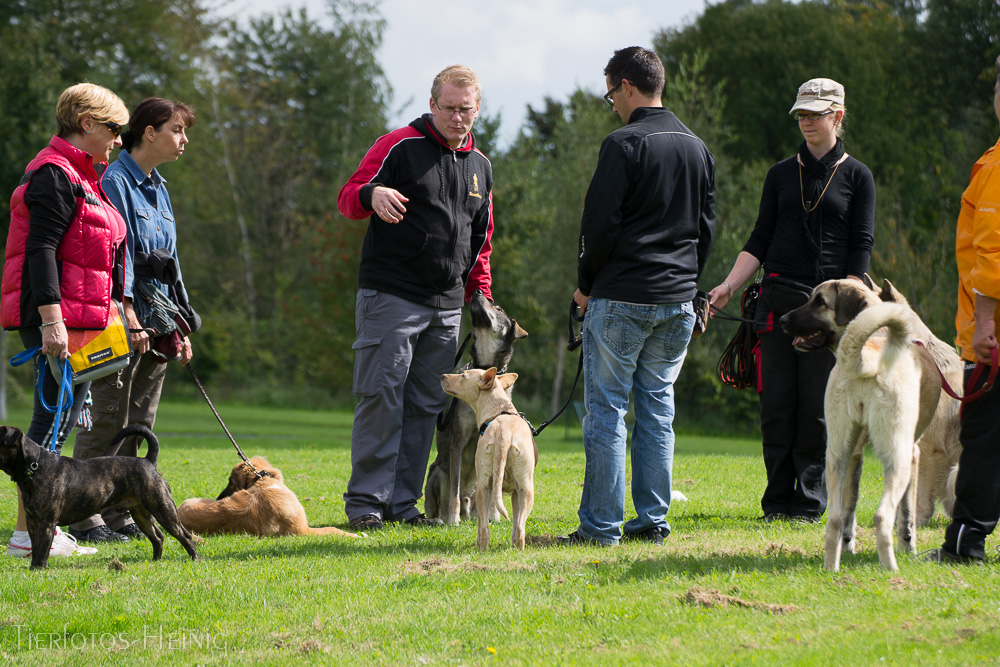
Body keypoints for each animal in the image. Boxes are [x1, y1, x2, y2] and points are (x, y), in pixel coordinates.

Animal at [0, 422, 197, 568]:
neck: (34, 467)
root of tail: (148, 461)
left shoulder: (46, 523)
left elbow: (42, 549)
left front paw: (38, 569)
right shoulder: (33, 522)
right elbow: (35, 547)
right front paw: (33, 568)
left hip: (164, 511)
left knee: (184, 535)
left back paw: (195, 559)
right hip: (142, 515)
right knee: (158, 537)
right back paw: (156, 561)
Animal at [178, 456, 362, 540]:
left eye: (231, 482)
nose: (218, 498)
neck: (262, 481)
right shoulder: (303, 530)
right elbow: (332, 529)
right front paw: (358, 535)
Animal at [440, 368, 536, 552]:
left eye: (463, 376)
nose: (442, 376)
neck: (499, 410)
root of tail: (505, 432)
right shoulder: (516, 493)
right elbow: (515, 523)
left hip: (483, 487)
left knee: (484, 526)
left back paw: (482, 549)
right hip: (524, 489)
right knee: (519, 528)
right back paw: (516, 550)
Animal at [780, 280, 960, 572]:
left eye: (819, 301)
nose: (782, 320)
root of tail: (866, 360)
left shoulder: (855, 455)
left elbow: (849, 512)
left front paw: (848, 548)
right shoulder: (914, 453)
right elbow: (907, 514)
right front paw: (909, 548)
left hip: (835, 456)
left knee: (836, 518)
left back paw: (832, 569)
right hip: (897, 459)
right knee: (882, 516)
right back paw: (891, 569)